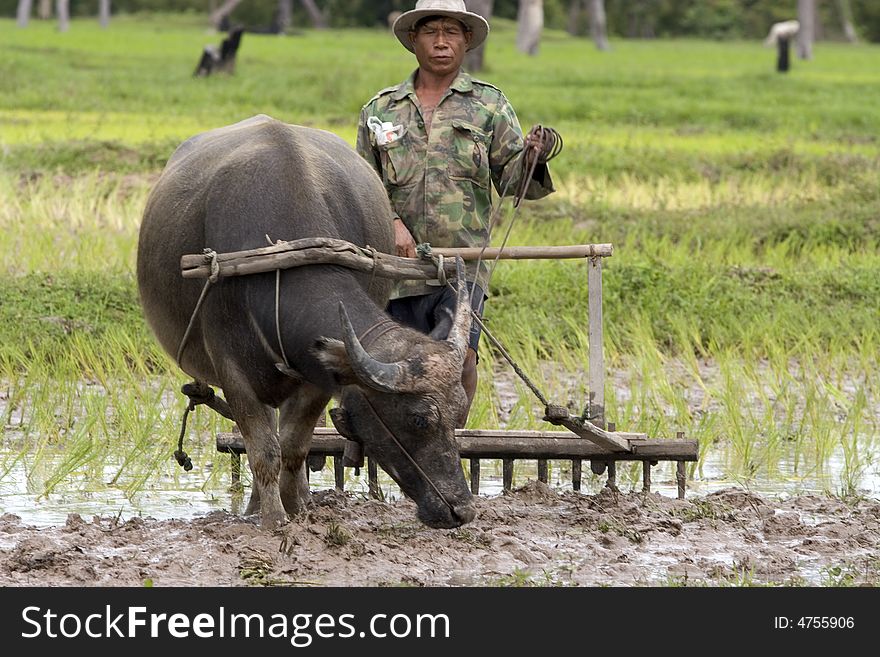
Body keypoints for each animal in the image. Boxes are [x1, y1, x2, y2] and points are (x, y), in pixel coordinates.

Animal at [138, 114, 478, 528]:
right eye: (418, 420)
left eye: (460, 413)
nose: (461, 510)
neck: (282, 257)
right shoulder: (232, 368)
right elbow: (264, 450)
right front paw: (273, 520)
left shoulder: (317, 376)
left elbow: (295, 447)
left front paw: (298, 511)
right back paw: (255, 508)